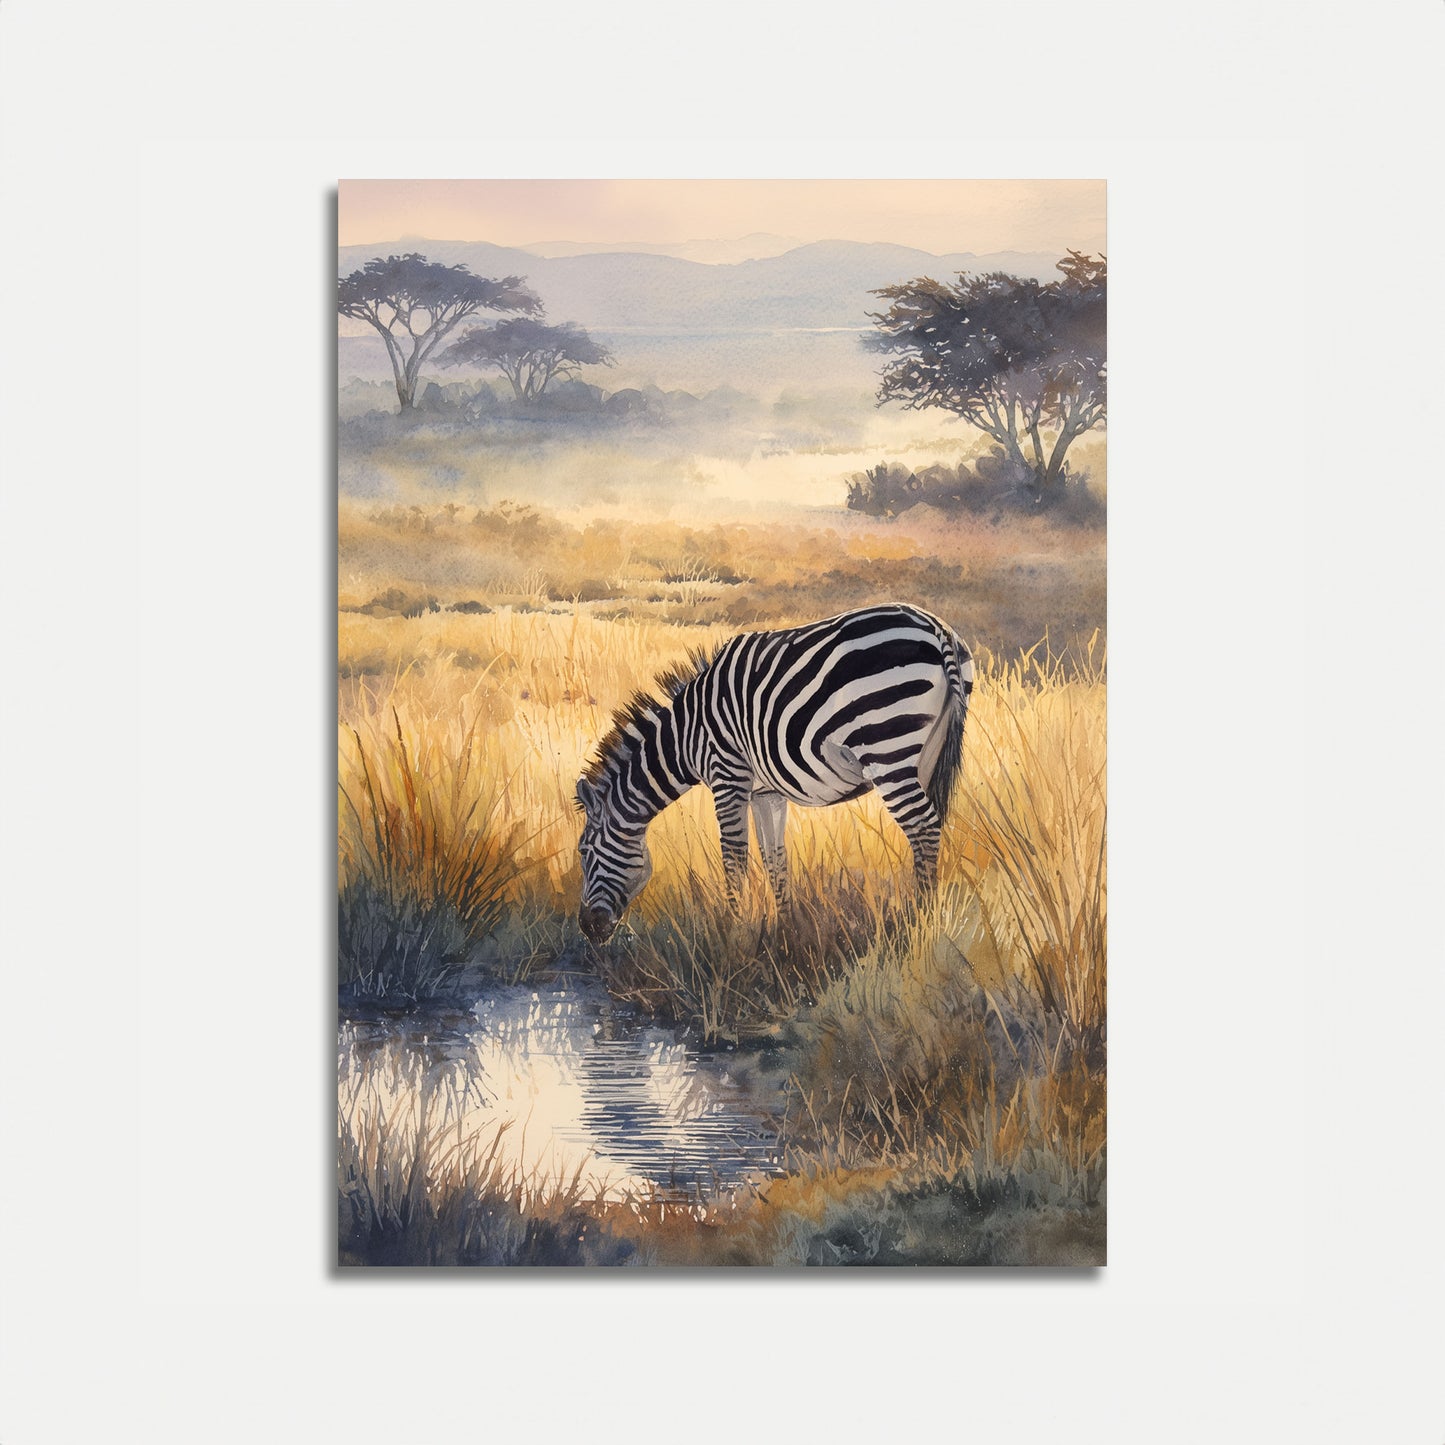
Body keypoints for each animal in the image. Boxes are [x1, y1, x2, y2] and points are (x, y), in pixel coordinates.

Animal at [575, 603, 974, 946]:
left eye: (584, 852)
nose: (587, 928)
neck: (686, 734)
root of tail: (936, 628)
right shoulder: (765, 792)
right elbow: (774, 860)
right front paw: (786, 932)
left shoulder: (728, 775)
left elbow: (734, 858)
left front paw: (731, 934)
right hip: (925, 753)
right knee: (928, 829)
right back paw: (921, 919)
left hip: (886, 748)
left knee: (923, 827)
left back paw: (918, 923)